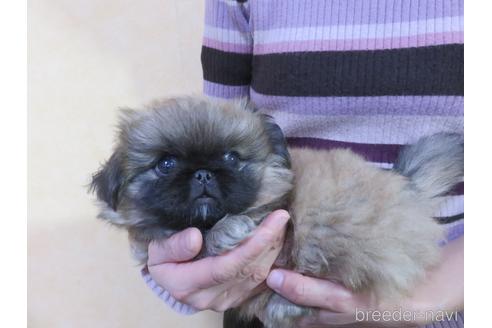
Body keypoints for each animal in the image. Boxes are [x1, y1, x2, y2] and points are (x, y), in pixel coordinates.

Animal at [90, 96, 464, 328]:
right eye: (165, 164)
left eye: (231, 157)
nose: (203, 173)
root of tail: (406, 185)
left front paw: (227, 231)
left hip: (324, 224)